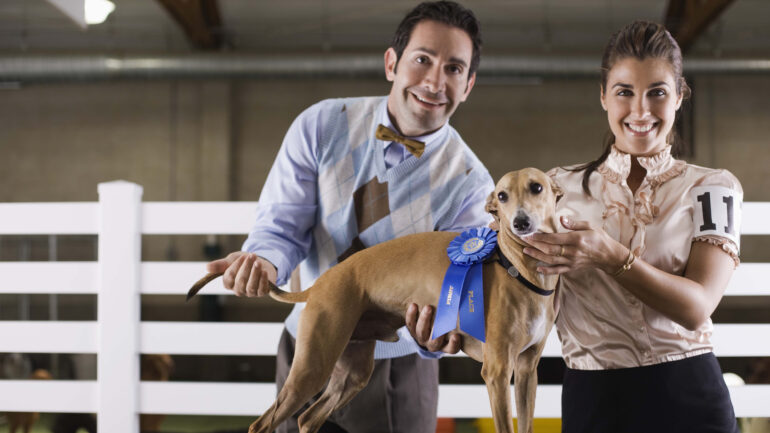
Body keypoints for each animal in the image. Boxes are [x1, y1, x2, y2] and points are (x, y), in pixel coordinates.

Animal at [186, 167, 560, 432]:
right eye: (502, 195)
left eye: (537, 187)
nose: (521, 222)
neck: (519, 269)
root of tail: (321, 283)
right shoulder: (496, 371)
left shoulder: (526, 372)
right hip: (311, 366)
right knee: (262, 423)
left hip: (351, 372)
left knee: (309, 418)